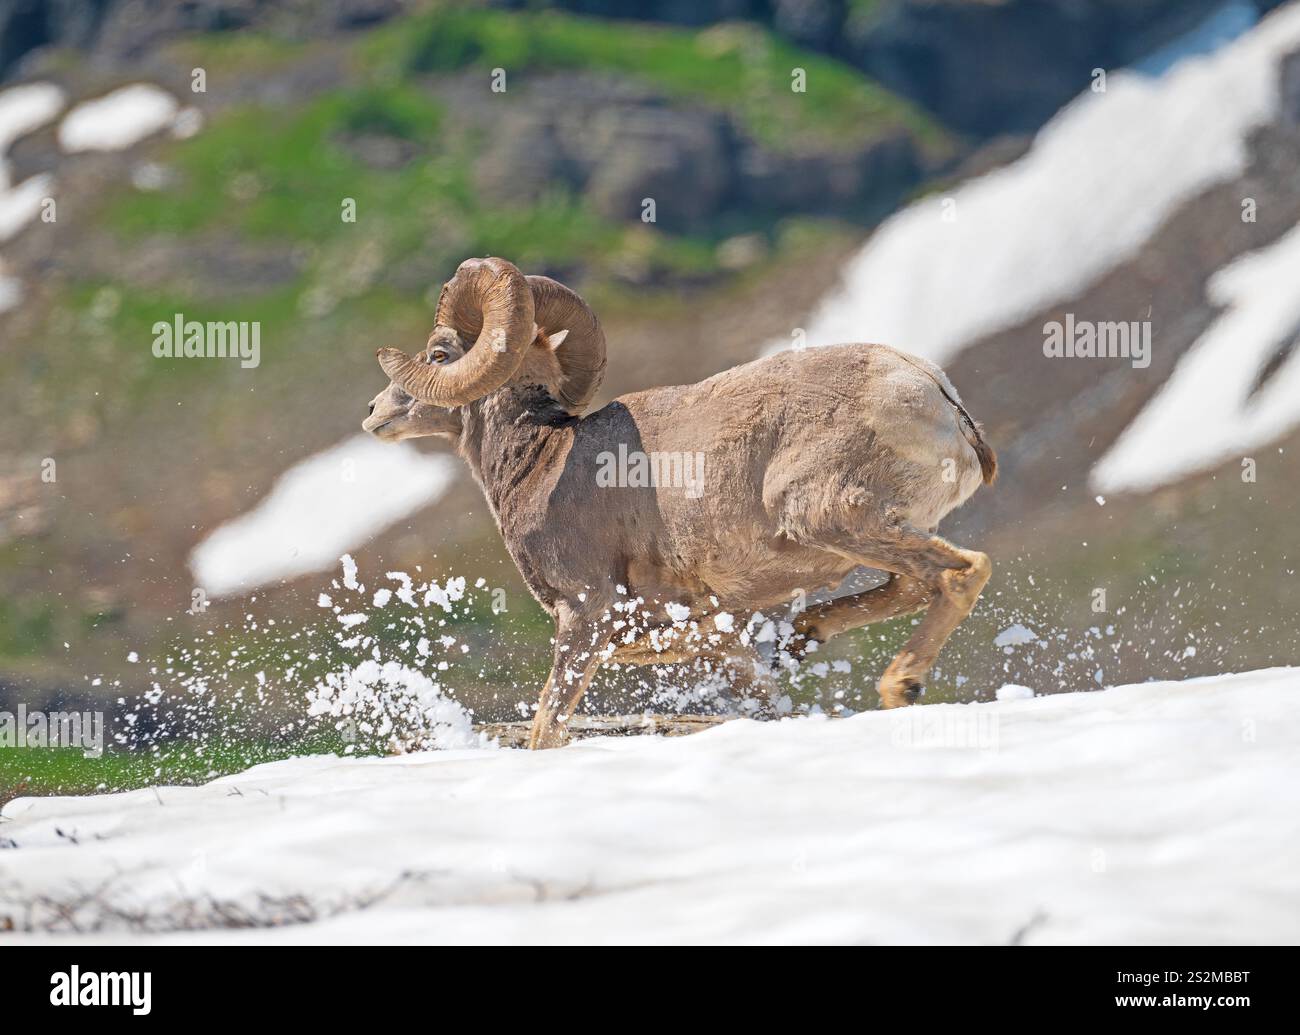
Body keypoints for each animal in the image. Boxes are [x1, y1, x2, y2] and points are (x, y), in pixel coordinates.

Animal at [366, 254, 993, 748]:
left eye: (439, 354)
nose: (374, 413)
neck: (543, 458)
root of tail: (934, 392)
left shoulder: (585, 617)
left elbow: (547, 730)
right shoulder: (711, 637)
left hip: (827, 518)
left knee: (960, 573)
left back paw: (898, 685)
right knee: (911, 584)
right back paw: (806, 637)